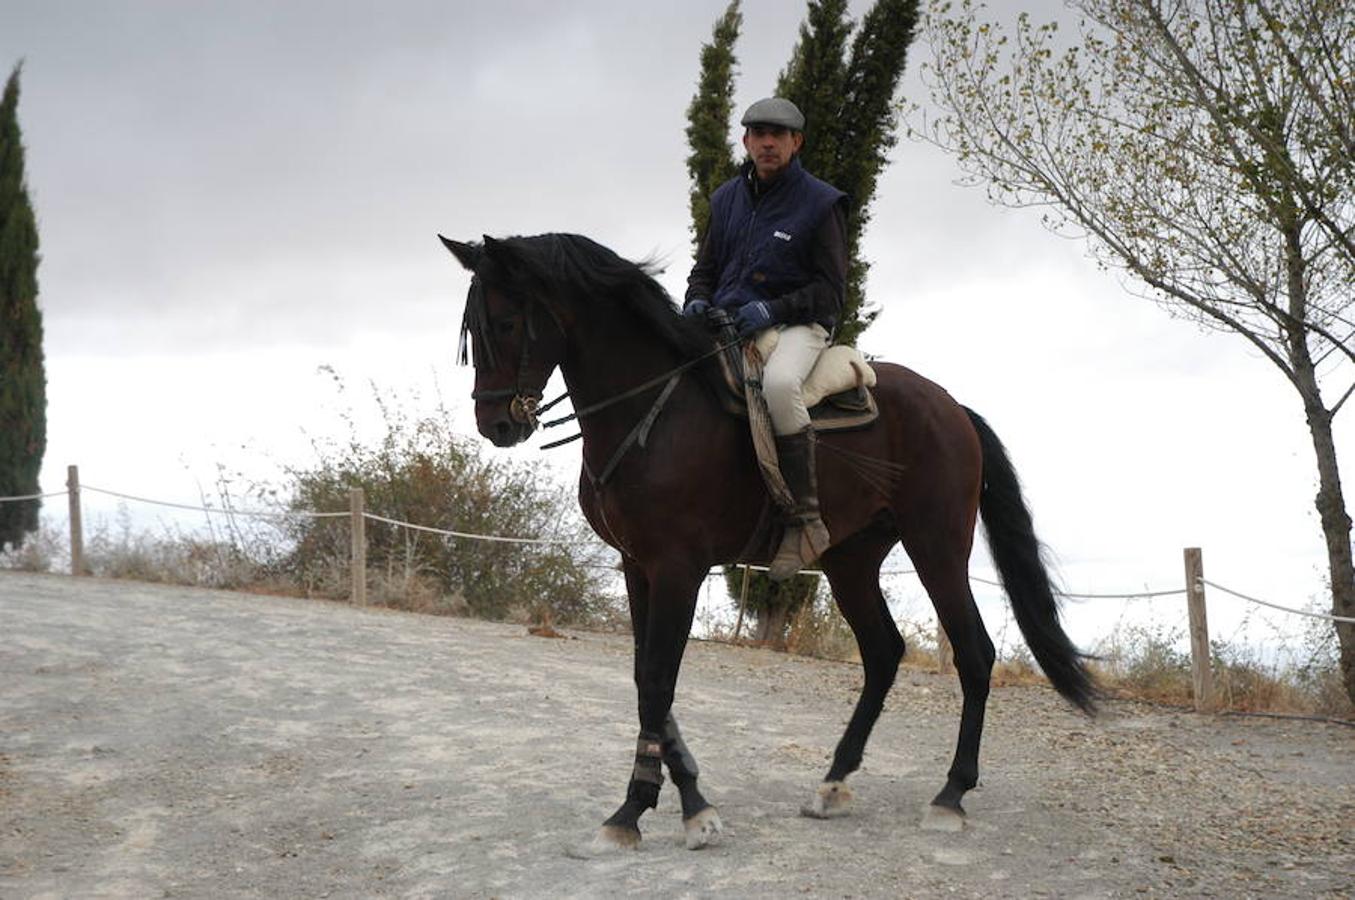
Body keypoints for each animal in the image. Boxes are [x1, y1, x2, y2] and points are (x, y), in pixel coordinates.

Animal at [439, 230, 1094, 851]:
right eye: (475, 331)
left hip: (937, 547)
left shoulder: (678, 567)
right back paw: (834, 782)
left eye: (504, 323)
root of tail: (951, 407)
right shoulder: (637, 565)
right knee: (884, 653)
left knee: (974, 653)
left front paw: (649, 810)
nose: (495, 424)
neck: (651, 408)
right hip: (851, 561)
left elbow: (658, 679)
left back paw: (951, 793)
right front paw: (675, 803)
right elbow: (645, 678)